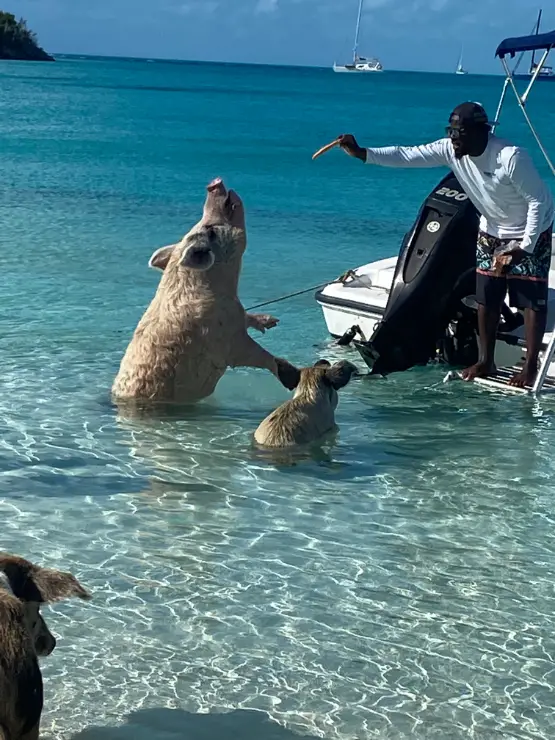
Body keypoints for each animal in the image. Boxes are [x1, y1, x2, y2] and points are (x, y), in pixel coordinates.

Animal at [111, 178, 299, 405]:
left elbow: (249, 319)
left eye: (205, 227)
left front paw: (271, 321)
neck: (224, 288)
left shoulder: (237, 314)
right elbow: (258, 354)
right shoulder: (227, 339)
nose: (214, 183)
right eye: (210, 231)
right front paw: (294, 376)